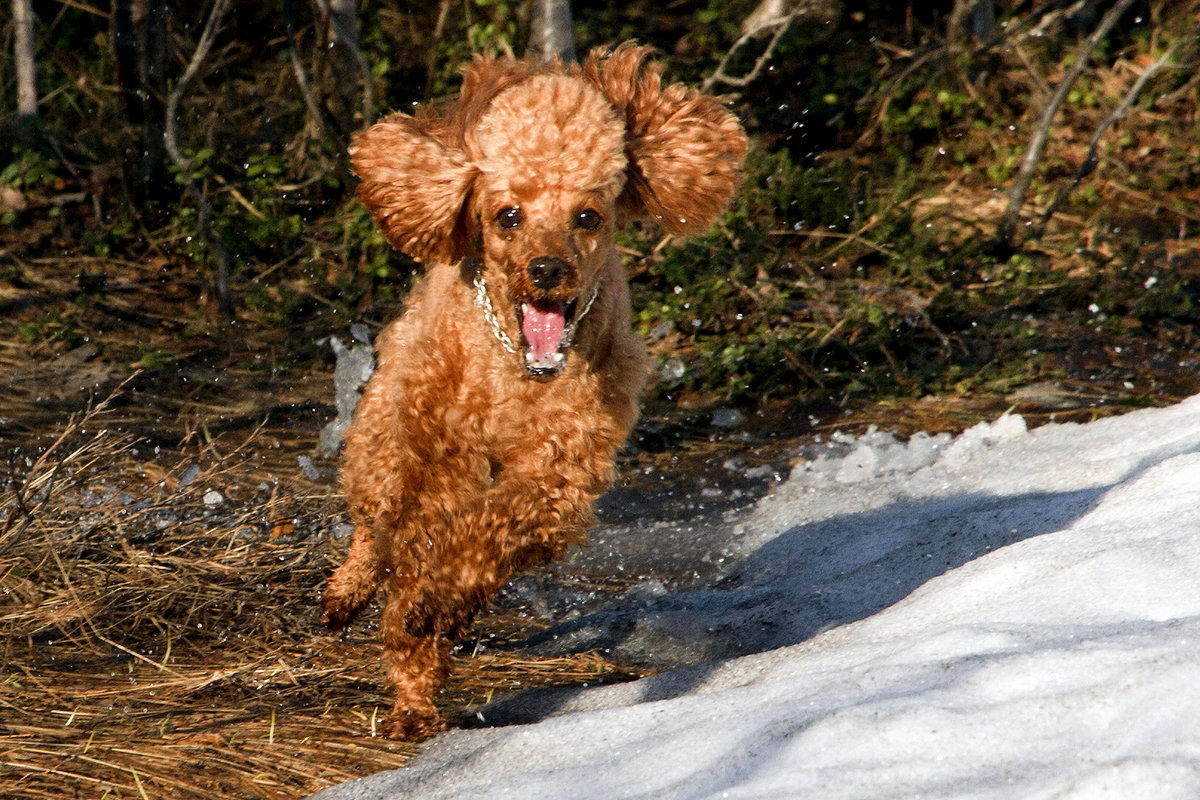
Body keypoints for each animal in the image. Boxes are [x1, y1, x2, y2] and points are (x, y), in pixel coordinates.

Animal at [324, 42, 744, 738]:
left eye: (588, 216)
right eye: (509, 216)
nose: (547, 270)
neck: (511, 373)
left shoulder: (555, 480)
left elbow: (479, 536)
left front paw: (437, 596)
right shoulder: (428, 448)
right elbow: (407, 533)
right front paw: (408, 599)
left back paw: (419, 680)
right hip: (383, 422)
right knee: (371, 520)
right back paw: (355, 601)